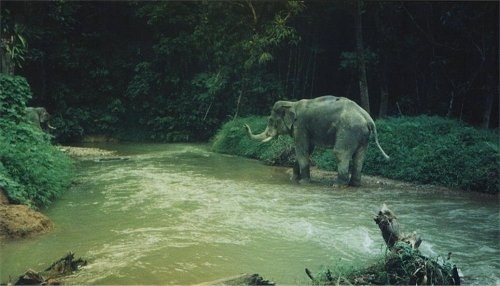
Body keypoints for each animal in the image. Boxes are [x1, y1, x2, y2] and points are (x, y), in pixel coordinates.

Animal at [244, 95, 388, 187]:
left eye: (271, 120)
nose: (245, 125)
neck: (291, 104)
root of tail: (368, 119)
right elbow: (307, 150)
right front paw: (293, 180)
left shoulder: (301, 125)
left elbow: (301, 149)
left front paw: (302, 183)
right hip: (363, 136)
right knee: (360, 156)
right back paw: (354, 185)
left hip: (349, 131)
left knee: (340, 153)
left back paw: (337, 185)